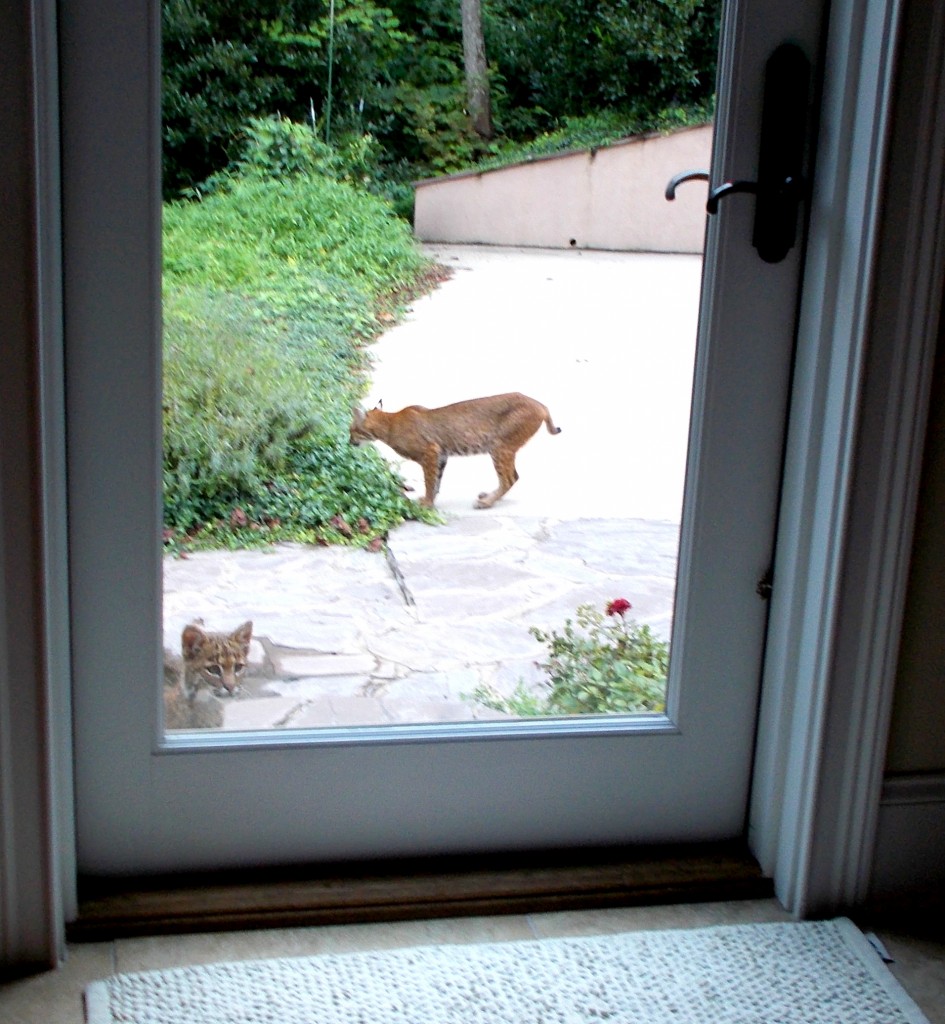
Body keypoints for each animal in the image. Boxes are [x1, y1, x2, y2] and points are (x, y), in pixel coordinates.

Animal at [350, 389, 561, 509]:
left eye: (352, 430)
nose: (349, 441)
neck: (388, 422)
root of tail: (540, 404)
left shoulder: (430, 452)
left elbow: (429, 481)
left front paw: (426, 504)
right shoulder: (441, 454)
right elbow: (436, 480)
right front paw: (430, 500)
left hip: (499, 446)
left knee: (510, 478)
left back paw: (486, 503)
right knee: (513, 476)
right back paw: (489, 496)